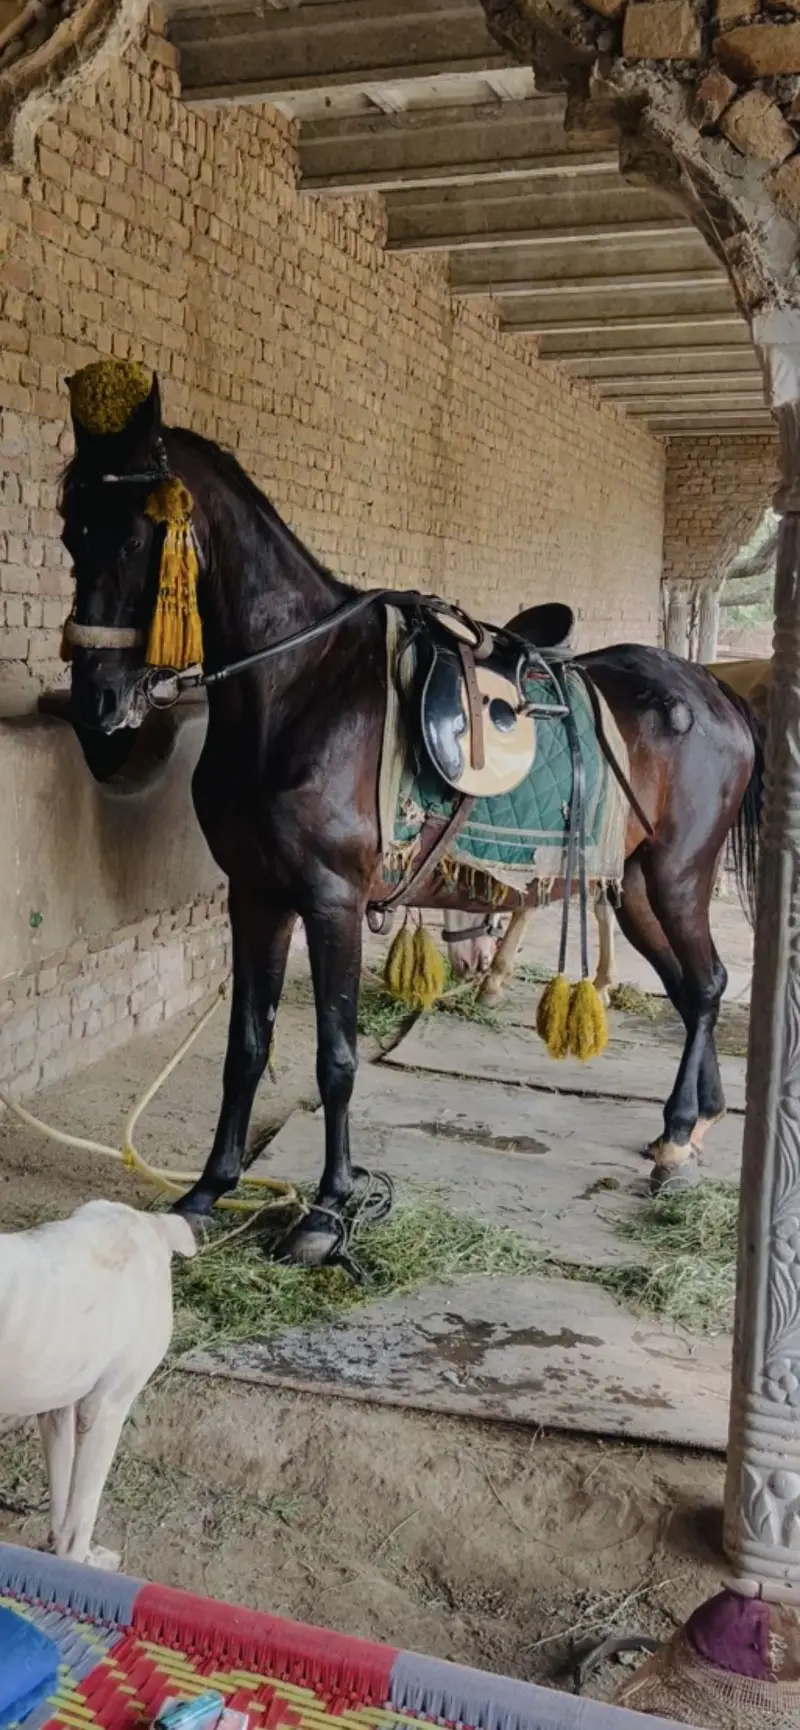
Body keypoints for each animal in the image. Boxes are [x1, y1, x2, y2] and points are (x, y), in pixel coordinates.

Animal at [61, 370, 762, 1260]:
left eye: (136, 537)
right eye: (70, 530)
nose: (97, 706)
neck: (298, 688)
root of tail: (716, 692)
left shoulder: (330, 900)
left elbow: (335, 1058)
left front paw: (327, 1213)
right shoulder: (255, 897)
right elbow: (246, 1047)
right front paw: (208, 1191)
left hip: (676, 877)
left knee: (706, 984)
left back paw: (675, 1136)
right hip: (633, 885)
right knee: (690, 986)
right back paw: (691, 1127)